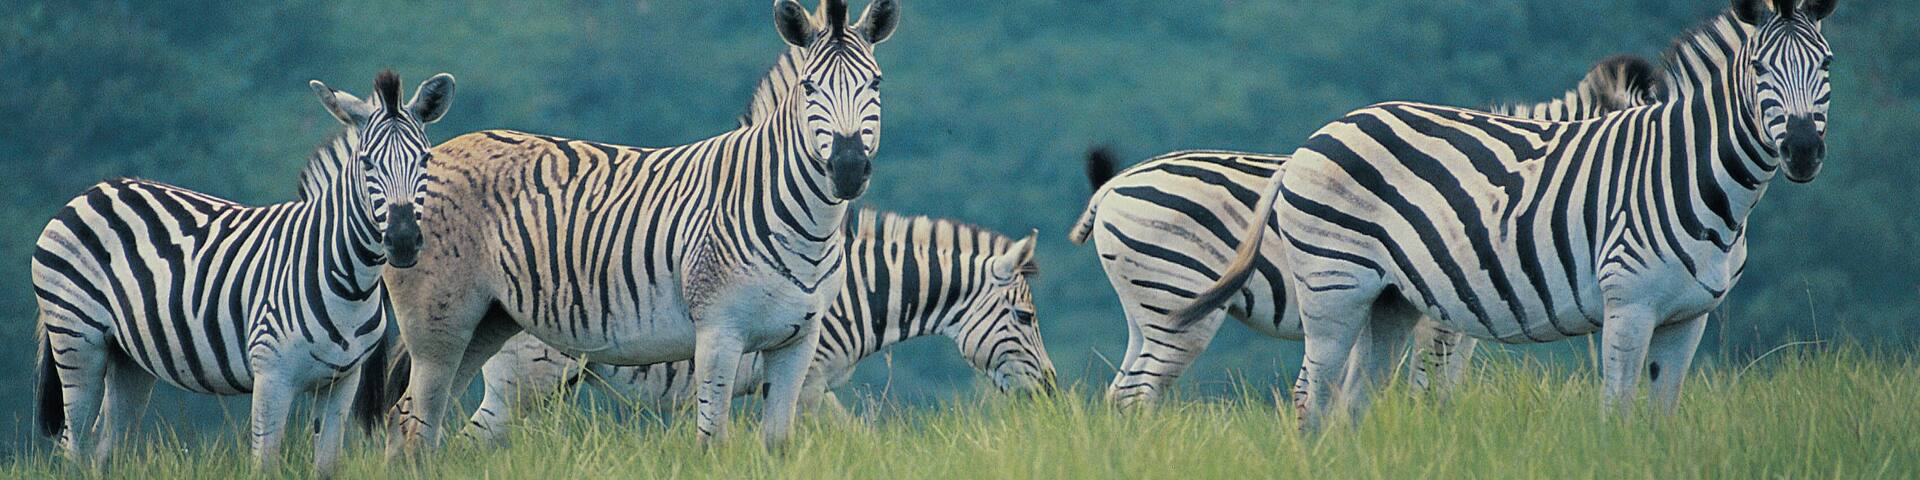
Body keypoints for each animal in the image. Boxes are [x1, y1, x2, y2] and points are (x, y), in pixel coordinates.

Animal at [30, 70, 456, 474]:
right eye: (367, 162)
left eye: (425, 160)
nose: (403, 240)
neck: (349, 281)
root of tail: (92, 191)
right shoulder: (272, 376)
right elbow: (265, 463)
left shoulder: (341, 382)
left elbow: (326, 465)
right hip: (77, 339)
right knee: (75, 443)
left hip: (128, 358)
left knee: (105, 445)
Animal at [379, 0, 900, 452]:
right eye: (810, 87)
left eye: (875, 83)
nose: (848, 168)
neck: (802, 224)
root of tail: (437, 151)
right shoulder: (719, 334)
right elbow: (712, 441)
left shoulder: (798, 342)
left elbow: (778, 443)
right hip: (440, 325)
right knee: (414, 420)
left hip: (487, 323)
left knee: (419, 421)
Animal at [447, 209, 1051, 443]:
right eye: (1025, 317)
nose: (1050, 394)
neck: (851, 293)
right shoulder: (810, 379)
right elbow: (846, 436)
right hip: (529, 381)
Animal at [1072, 55, 1666, 409]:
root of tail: (1115, 185)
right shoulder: (1441, 315)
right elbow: (1429, 391)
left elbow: (1444, 391)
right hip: (1178, 300)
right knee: (1137, 392)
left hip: (1148, 308)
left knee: (1122, 391)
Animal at [1172, 0, 1839, 431]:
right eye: (1759, 69)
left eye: (1827, 64)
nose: (1804, 150)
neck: (1686, 171)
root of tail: (1315, 139)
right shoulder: (1628, 304)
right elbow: (1617, 416)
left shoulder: (1690, 317)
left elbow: (1659, 421)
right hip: (1334, 287)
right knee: (1312, 398)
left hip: (1390, 300)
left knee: (1354, 403)